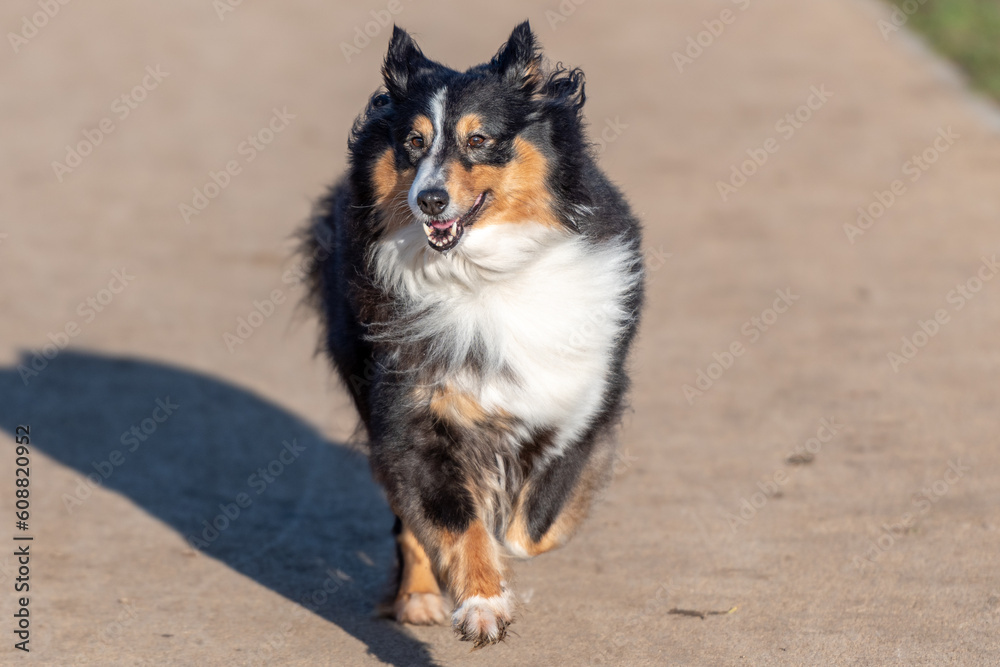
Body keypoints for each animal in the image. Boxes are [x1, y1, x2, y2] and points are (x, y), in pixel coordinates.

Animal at [300, 19, 644, 648]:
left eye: (480, 139)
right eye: (413, 142)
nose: (429, 199)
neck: (485, 271)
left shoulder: (583, 401)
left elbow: (532, 528)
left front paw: (505, 556)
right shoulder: (411, 415)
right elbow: (455, 521)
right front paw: (483, 602)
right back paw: (417, 598)